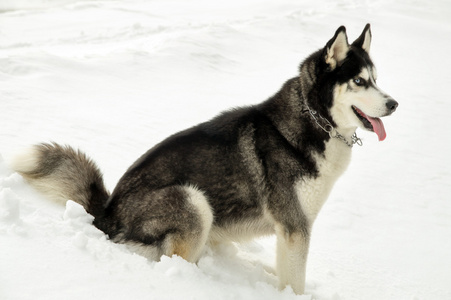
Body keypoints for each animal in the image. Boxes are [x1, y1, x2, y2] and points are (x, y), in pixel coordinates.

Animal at [13, 24, 396, 296]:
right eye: (359, 81)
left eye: (376, 80)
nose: (394, 104)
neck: (314, 119)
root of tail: (107, 211)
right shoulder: (294, 227)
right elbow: (295, 283)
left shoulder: (291, 231)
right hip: (193, 201)